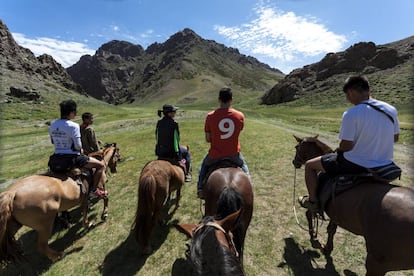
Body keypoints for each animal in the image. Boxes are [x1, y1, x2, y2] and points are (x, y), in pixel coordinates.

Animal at [292, 135, 414, 274]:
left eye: (296, 147)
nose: (294, 162)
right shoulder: (335, 213)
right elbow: (331, 230)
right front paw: (327, 248)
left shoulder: (315, 204)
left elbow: (309, 214)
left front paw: (312, 235)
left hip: (377, 263)